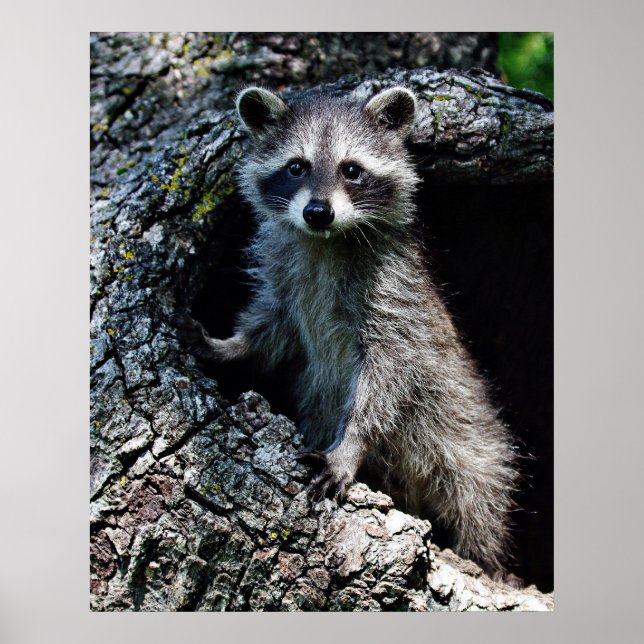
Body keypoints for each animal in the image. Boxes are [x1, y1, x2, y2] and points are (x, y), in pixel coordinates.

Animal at [176, 86, 519, 577]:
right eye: (296, 167)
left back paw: (478, 556)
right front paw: (226, 347)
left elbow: (389, 375)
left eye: (351, 170)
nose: (318, 212)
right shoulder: (287, 280)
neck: (324, 242)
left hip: (472, 443)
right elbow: (270, 330)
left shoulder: (392, 293)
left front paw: (350, 445)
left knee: (478, 498)